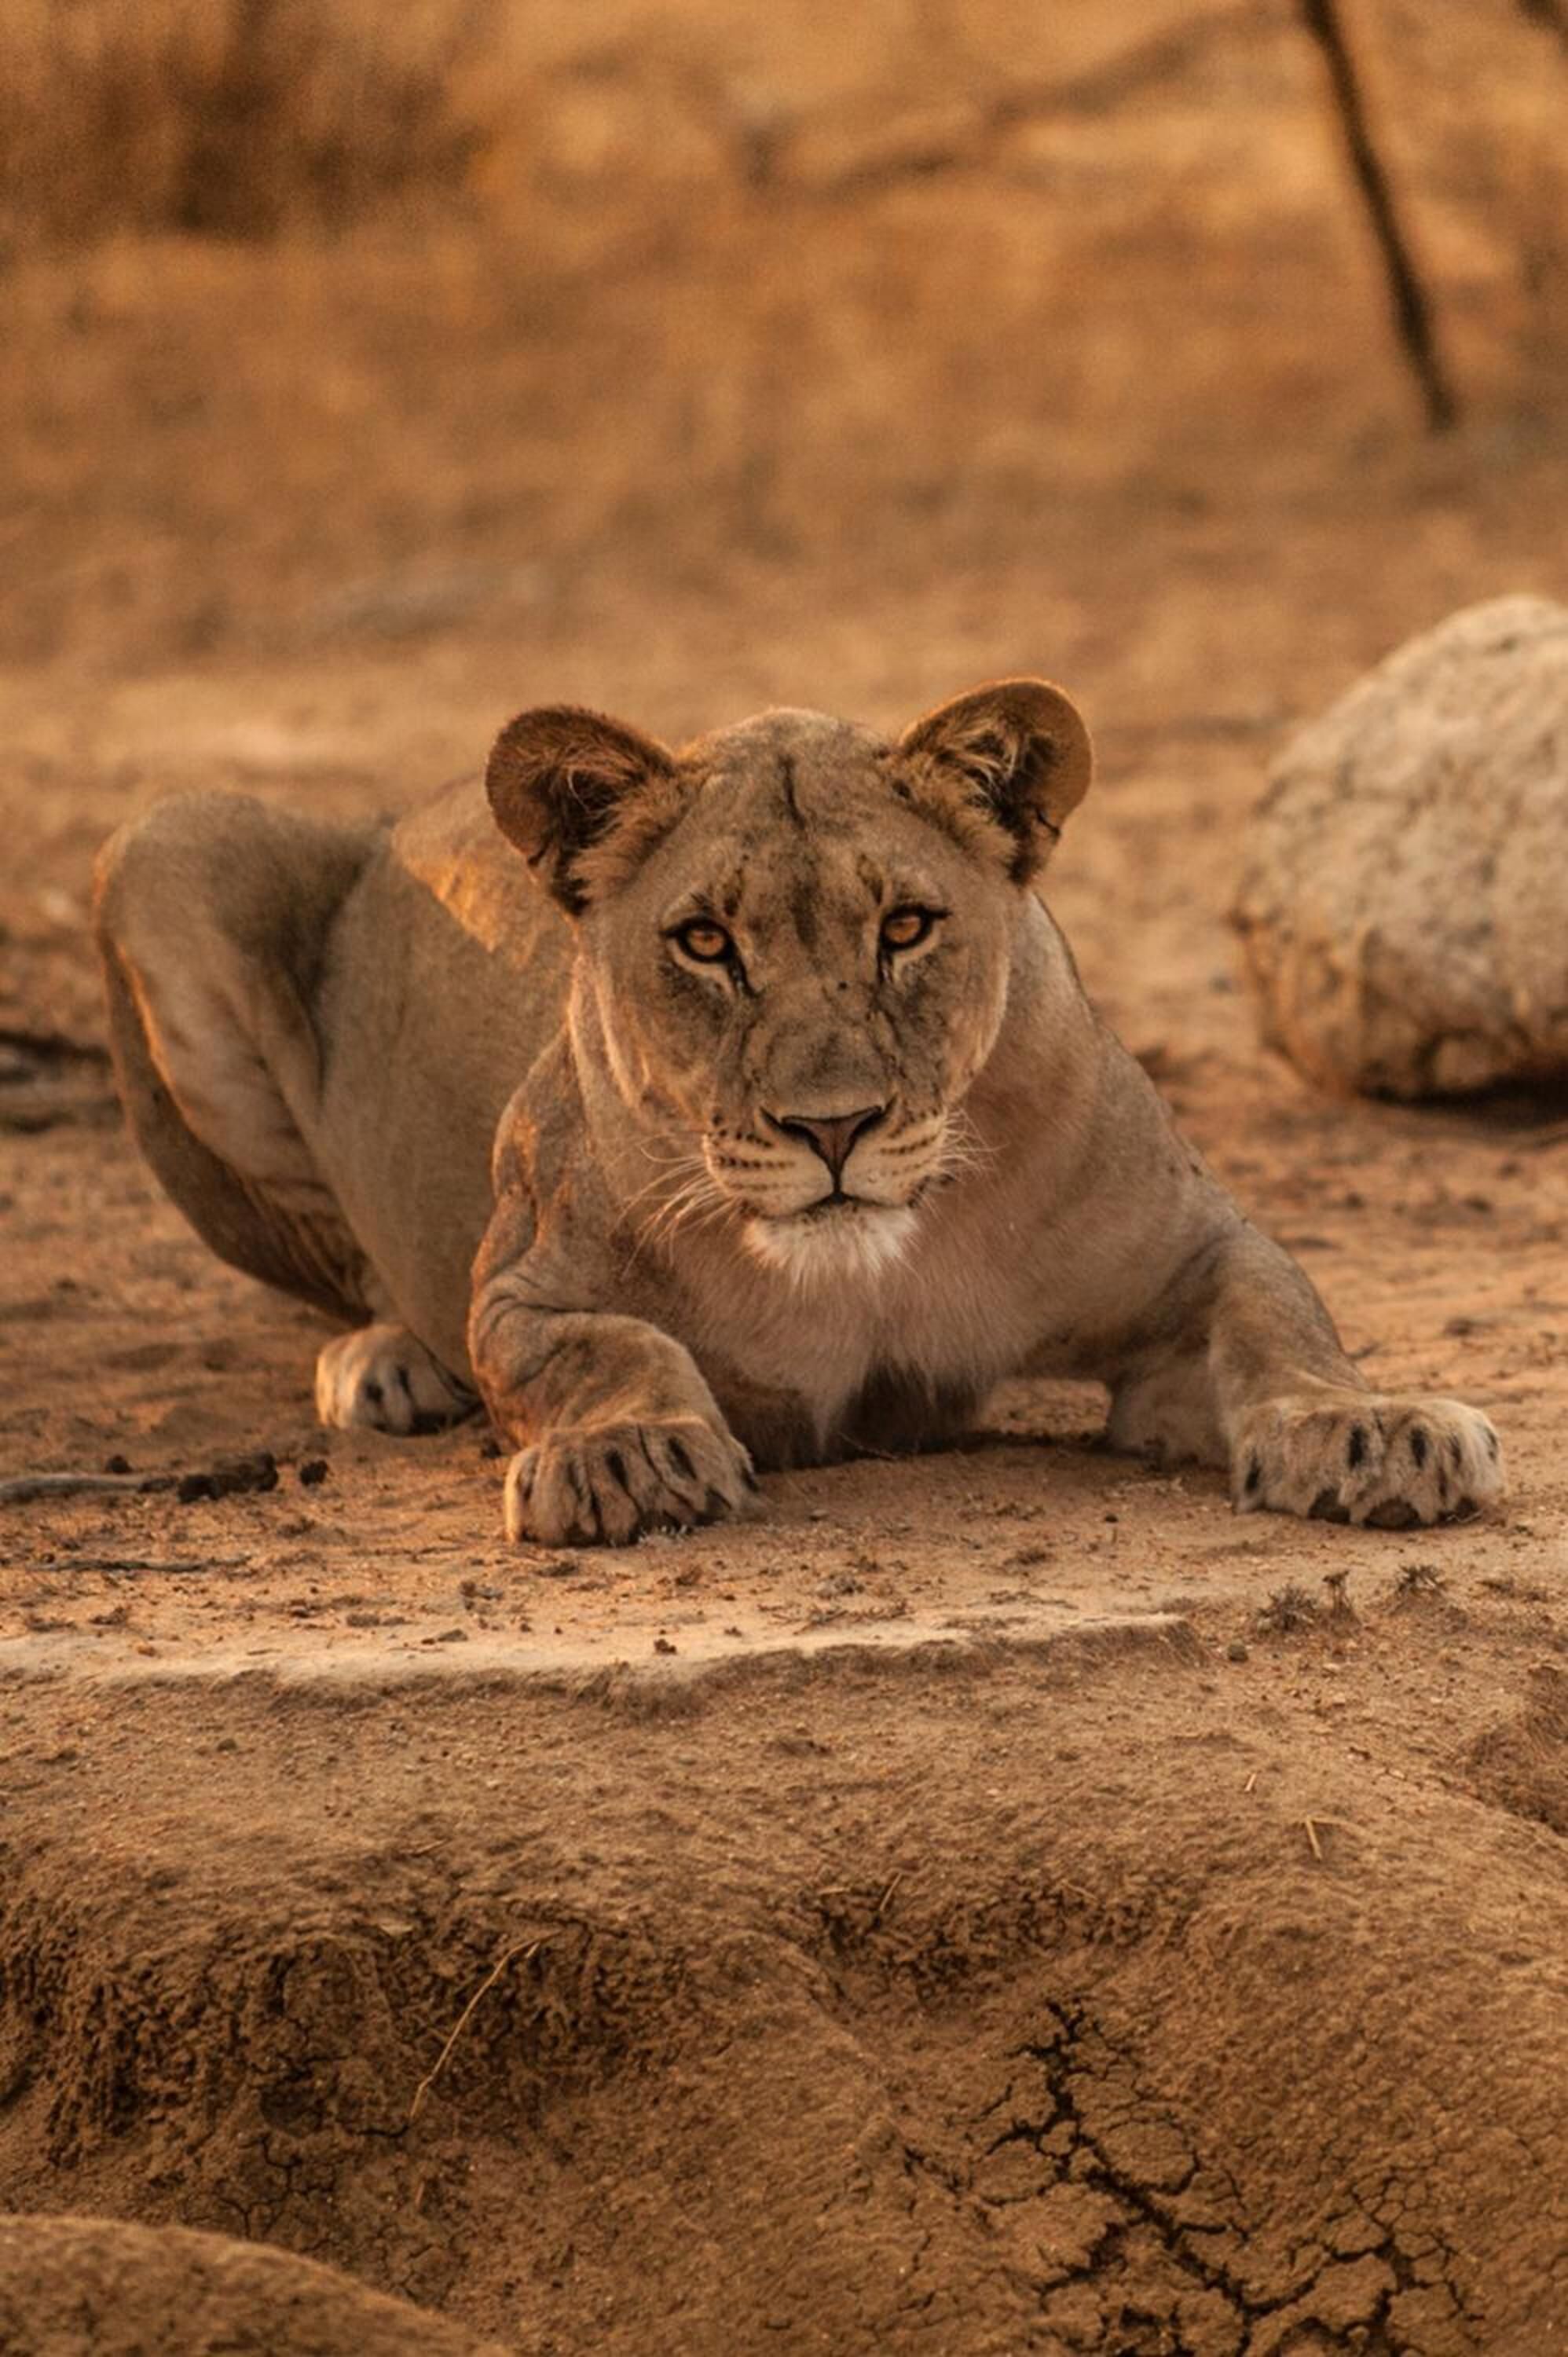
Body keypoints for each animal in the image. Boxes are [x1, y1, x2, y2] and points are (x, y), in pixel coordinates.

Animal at [93, 680, 1502, 1544]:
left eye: (907, 926)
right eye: (708, 943)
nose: (834, 1129)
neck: (868, 1272)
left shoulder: (1189, 1251)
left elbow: (1281, 1313)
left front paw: (1374, 1434)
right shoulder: (522, 1285)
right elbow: (599, 1347)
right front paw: (627, 1460)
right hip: (160, 846)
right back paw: (386, 1363)